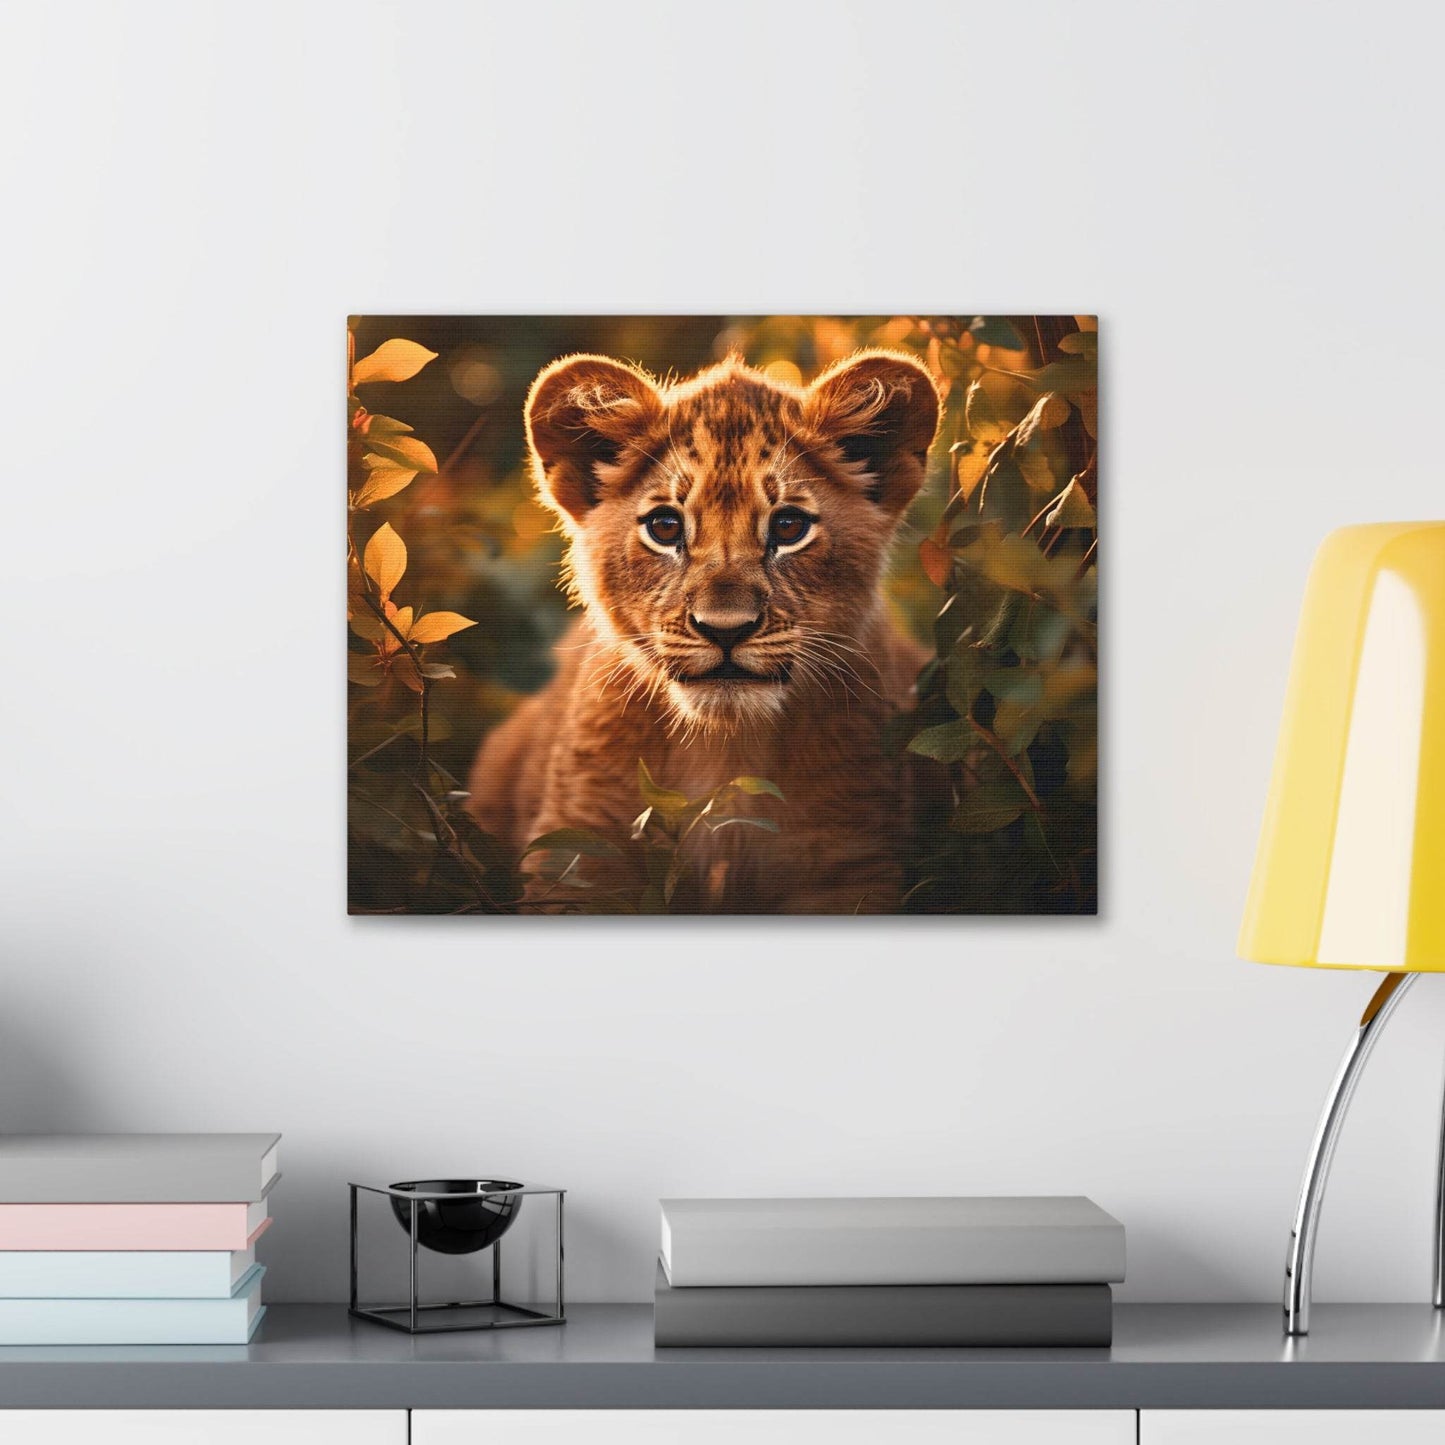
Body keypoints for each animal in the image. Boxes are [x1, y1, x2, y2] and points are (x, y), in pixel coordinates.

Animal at [467, 349, 943, 913]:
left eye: (788, 527)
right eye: (665, 527)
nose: (726, 630)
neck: (727, 750)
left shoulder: (850, 860)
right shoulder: (579, 850)